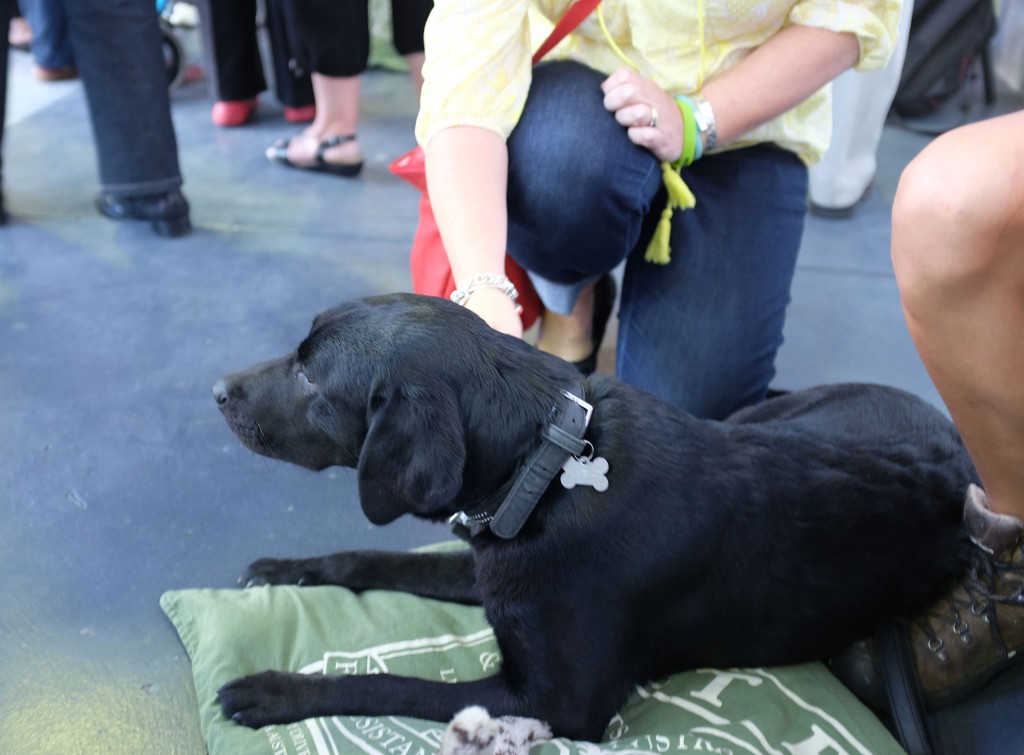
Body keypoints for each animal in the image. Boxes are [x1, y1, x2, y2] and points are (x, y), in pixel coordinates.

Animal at [209, 290, 974, 737]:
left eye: (311, 377)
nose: (216, 389)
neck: (544, 470)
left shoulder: (559, 702)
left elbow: (393, 683)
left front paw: (274, 691)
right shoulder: (489, 565)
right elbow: (370, 557)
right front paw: (287, 568)